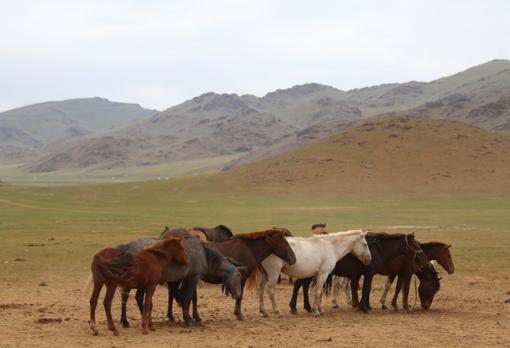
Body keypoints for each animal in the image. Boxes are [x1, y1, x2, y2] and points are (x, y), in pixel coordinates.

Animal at [119, 231, 247, 326]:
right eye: (239, 277)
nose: (238, 294)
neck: (204, 253)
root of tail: (127, 247)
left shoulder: (190, 279)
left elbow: (192, 298)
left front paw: (195, 317)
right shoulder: (192, 279)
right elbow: (187, 297)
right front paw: (188, 319)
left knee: (126, 296)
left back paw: (125, 321)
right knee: (137, 297)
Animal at [288, 232, 428, 314]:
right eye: (415, 245)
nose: (424, 260)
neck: (378, 249)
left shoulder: (364, 274)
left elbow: (361, 289)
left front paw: (363, 306)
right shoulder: (369, 273)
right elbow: (366, 289)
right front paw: (364, 307)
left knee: (303, 286)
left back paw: (307, 307)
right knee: (298, 286)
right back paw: (295, 308)